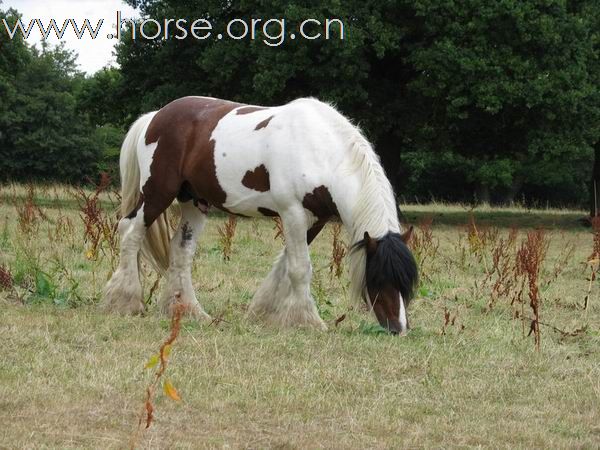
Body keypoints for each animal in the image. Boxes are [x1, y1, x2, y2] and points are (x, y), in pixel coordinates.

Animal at [102, 95, 418, 334]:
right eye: (379, 278)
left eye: (406, 283)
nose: (398, 329)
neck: (320, 149)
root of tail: (154, 117)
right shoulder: (292, 212)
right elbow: (300, 267)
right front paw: (309, 321)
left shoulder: (315, 218)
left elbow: (285, 264)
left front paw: (264, 311)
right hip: (157, 192)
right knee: (130, 231)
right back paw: (124, 301)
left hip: (194, 202)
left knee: (181, 252)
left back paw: (190, 311)